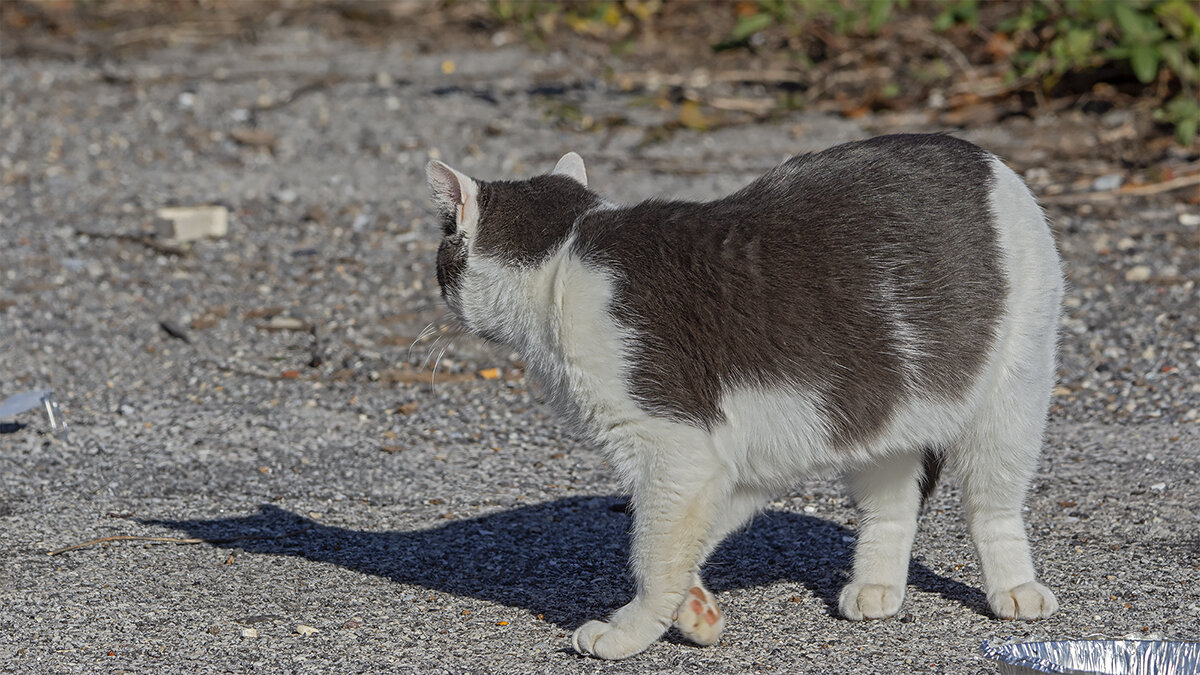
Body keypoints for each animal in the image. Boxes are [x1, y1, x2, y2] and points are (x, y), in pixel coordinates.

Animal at [427, 133, 1065, 658]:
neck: (562, 261)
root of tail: (983, 155)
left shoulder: (677, 450)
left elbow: (654, 550)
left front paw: (631, 629)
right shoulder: (730, 459)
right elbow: (679, 539)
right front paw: (692, 610)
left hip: (1010, 399)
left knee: (991, 507)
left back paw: (1015, 588)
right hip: (879, 412)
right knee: (893, 505)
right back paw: (876, 585)